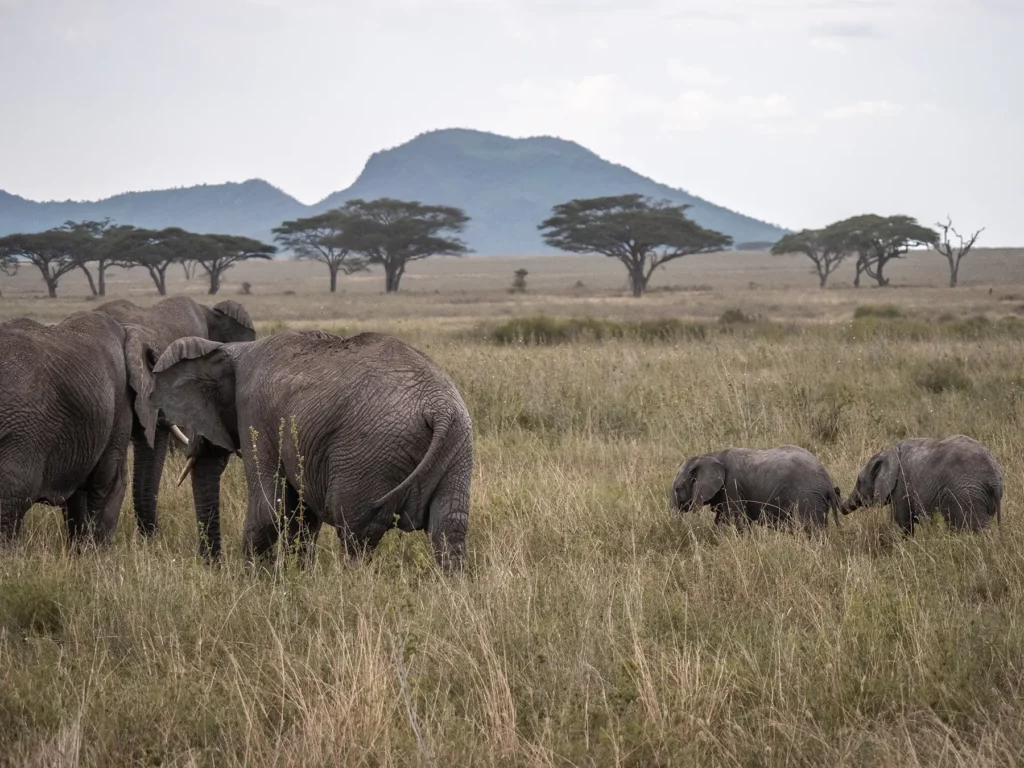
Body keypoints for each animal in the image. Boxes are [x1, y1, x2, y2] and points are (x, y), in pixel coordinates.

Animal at [0, 311, 156, 544]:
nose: (150, 539)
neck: (127, 329)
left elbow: (80, 492)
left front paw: (81, 549)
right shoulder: (120, 404)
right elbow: (110, 482)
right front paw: (98, 551)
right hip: (21, 433)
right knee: (12, 500)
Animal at [149, 330, 474, 571]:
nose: (212, 567)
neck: (231, 349)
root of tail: (439, 407)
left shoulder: (255, 412)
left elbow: (269, 507)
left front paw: (253, 584)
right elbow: (301, 516)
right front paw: (299, 577)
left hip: (370, 454)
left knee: (356, 527)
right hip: (458, 444)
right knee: (449, 526)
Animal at [671, 445, 842, 529]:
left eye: (677, 489)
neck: (711, 455)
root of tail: (828, 484)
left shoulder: (732, 487)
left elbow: (734, 522)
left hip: (808, 499)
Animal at [841, 435, 1004, 534]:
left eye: (859, 482)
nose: (837, 491)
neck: (887, 452)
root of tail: (994, 479)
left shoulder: (901, 487)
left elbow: (903, 523)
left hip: (967, 494)